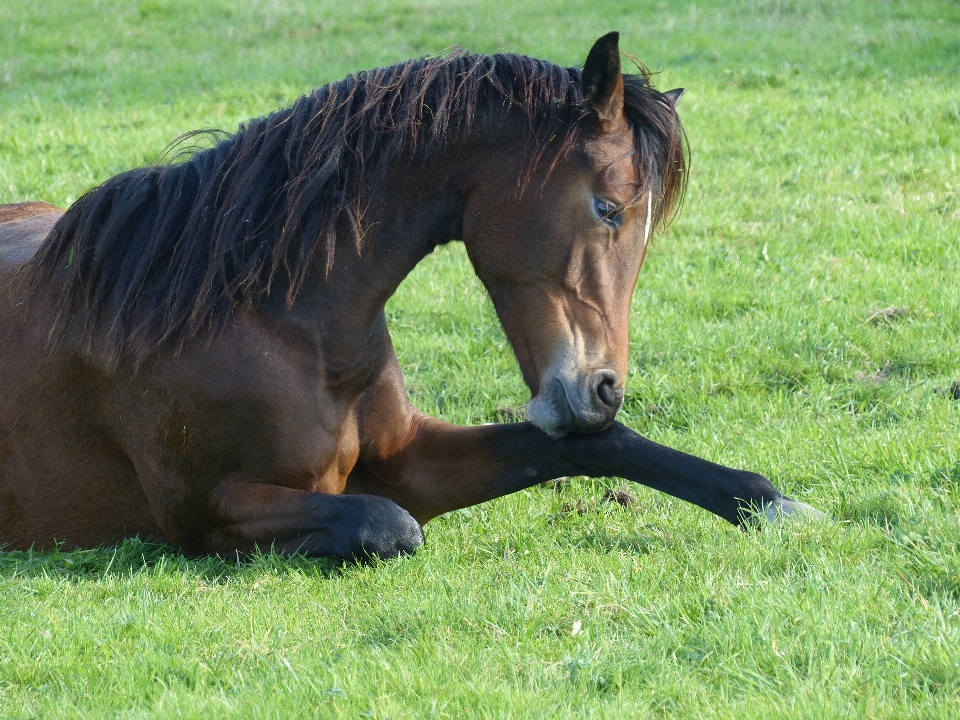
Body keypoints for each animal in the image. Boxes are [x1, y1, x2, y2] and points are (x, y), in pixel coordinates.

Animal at [0, 32, 816, 564]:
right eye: (608, 208)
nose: (603, 388)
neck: (282, 322)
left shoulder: (410, 458)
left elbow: (599, 446)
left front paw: (775, 504)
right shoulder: (203, 512)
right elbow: (387, 526)